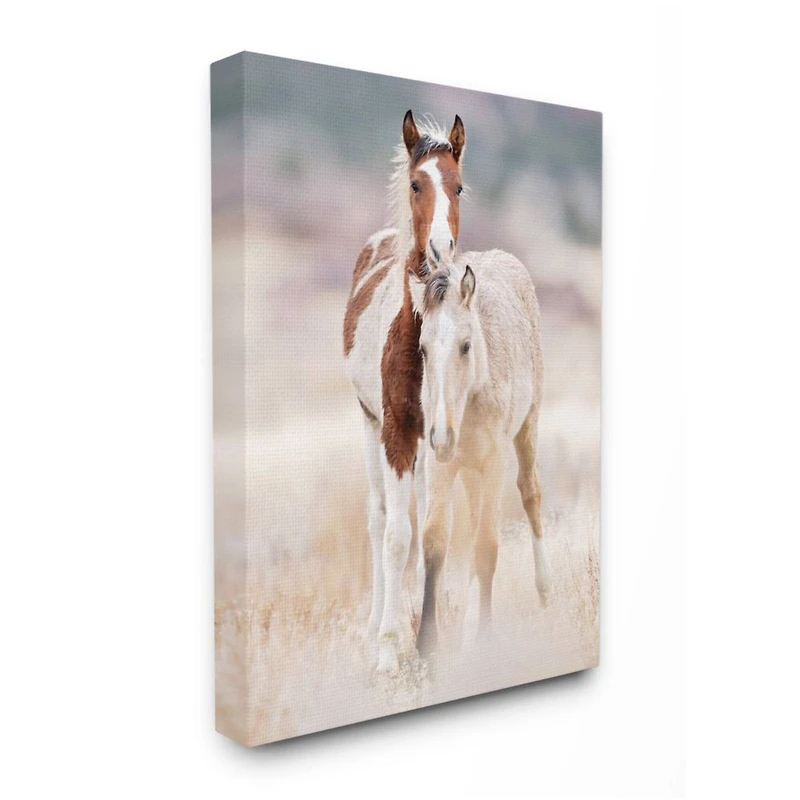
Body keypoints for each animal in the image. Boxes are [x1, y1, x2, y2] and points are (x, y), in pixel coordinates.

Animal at [408, 252, 552, 659]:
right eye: (423, 349)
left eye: (466, 346)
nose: (442, 436)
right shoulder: (440, 464)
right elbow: (435, 542)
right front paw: (428, 645)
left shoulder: (493, 462)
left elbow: (487, 548)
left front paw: (484, 639)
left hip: (527, 426)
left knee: (530, 493)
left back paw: (544, 591)